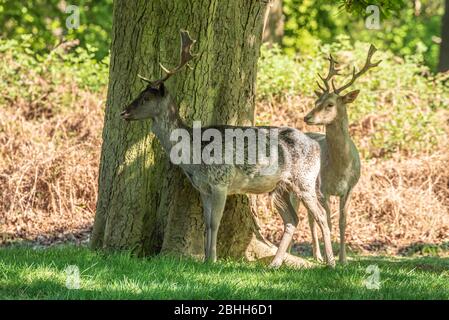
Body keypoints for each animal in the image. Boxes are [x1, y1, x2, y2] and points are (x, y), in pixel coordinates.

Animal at [121, 31, 334, 268]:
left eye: (146, 98)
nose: (124, 112)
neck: (194, 155)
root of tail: (316, 146)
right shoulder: (203, 188)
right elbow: (206, 224)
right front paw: (205, 257)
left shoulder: (221, 180)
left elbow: (215, 222)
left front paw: (212, 260)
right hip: (280, 187)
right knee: (292, 220)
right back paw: (274, 264)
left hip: (304, 180)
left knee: (321, 215)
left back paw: (331, 262)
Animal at [302, 45, 380, 264]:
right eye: (316, 101)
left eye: (330, 104)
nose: (307, 117)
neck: (341, 168)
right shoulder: (324, 189)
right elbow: (327, 221)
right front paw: (332, 258)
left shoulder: (350, 187)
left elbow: (343, 221)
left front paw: (344, 259)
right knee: (310, 217)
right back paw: (318, 255)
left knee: (310, 216)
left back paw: (318, 255)